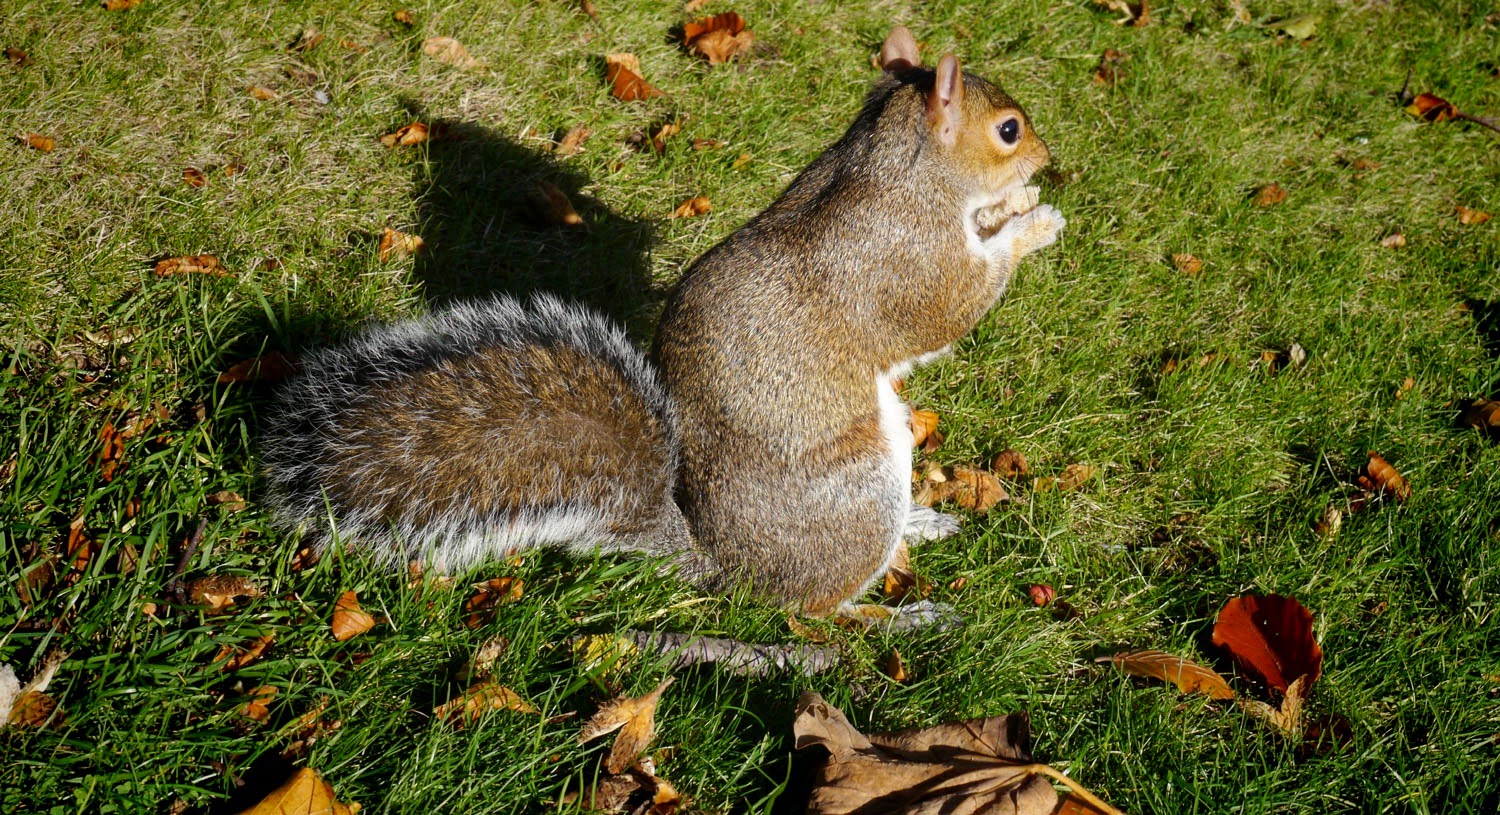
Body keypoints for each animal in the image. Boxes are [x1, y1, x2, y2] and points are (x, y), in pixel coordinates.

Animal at [262, 26, 1065, 620]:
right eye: (1007, 129)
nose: (1048, 160)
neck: (899, 169)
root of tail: (728, 573)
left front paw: (1013, 212)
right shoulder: (906, 261)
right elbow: (951, 308)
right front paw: (1031, 222)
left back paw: (922, 525)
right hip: (859, 494)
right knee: (814, 609)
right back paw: (899, 613)